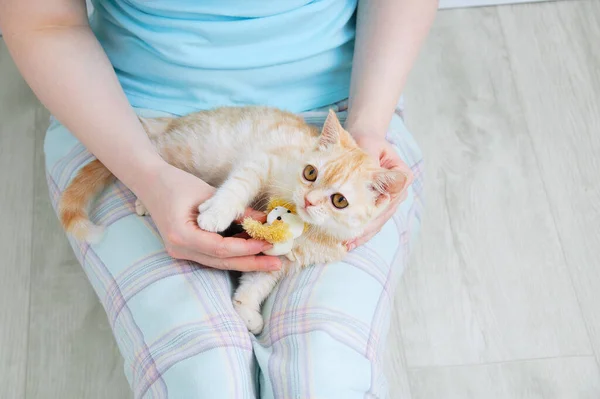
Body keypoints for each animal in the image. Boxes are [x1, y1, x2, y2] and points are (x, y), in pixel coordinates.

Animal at [58, 106, 410, 334]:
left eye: (339, 201)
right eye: (310, 173)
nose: (308, 200)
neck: (310, 230)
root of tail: (170, 126)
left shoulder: (284, 260)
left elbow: (259, 281)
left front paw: (246, 309)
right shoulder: (264, 162)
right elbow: (239, 184)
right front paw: (216, 213)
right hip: (189, 149)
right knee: (149, 158)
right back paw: (149, 194)